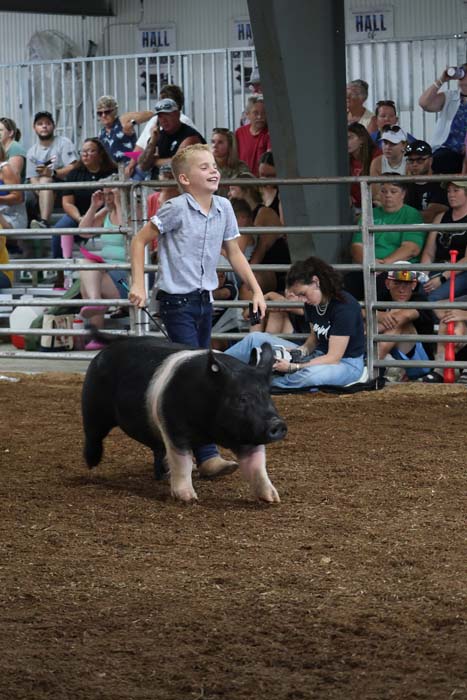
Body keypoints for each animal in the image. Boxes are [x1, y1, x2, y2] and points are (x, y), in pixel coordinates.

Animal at [81, 336, 287, 503]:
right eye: (242, 398)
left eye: (268, 395)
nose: (278, 424)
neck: (209, 430)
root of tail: (104, 352)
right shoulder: (174, 427)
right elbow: (182, 461)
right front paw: (188, 498)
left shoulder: (249, 432)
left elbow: (257, 465)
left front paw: (272, 498)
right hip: (93, 406)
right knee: (92, 434)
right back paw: (91, 464)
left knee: (158, 450)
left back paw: (164, 474)